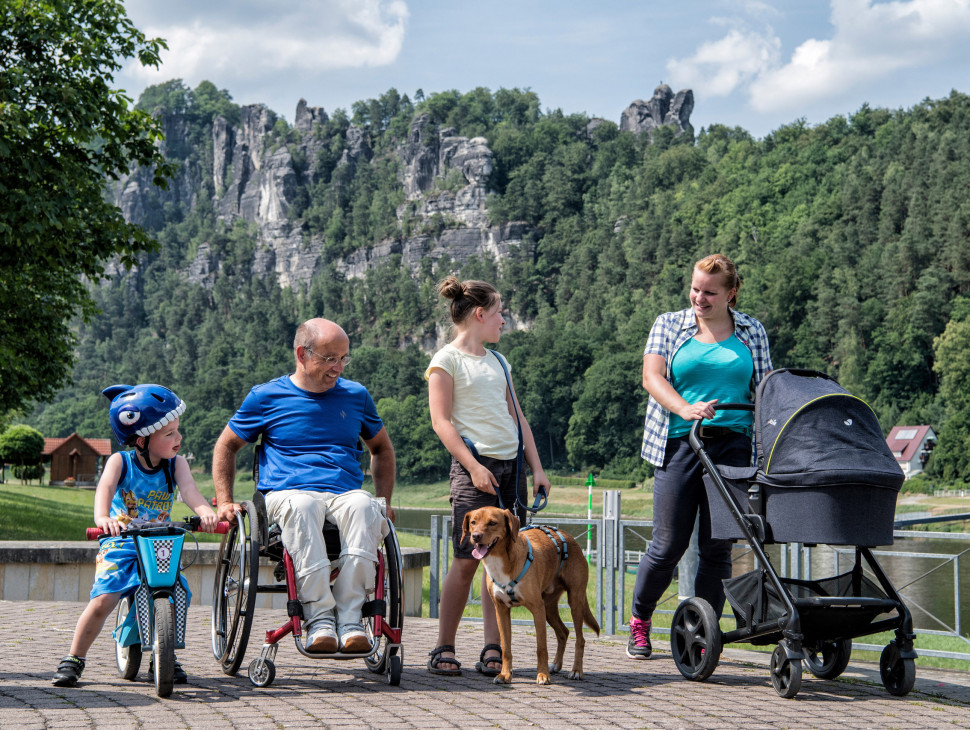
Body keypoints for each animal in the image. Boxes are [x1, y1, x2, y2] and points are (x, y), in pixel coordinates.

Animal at [462, 506, 596, 684]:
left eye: (492, 523)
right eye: (473, 522)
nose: (476, 536)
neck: (501, 561)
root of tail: (569, 537)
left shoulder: (537, 609)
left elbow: (541, 647)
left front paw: (542, 675)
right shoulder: (501, 610)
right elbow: (506, 648)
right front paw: (505, 674)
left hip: (575, 601)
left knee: (580, 639)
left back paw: (576, 671)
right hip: (549, 607)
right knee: (563, 632)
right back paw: (556, 665)